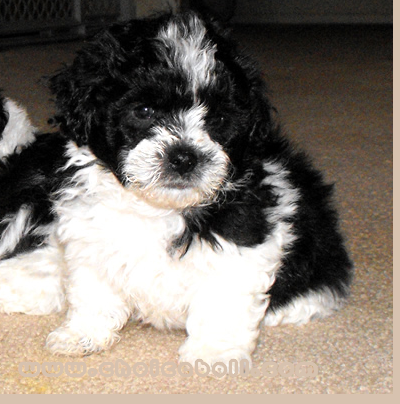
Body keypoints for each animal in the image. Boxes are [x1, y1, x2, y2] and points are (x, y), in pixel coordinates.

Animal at [0, 12, 354, 366]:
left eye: (219, 119)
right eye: (144, 111)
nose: (184, 157)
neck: (157, 208)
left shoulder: (241, 238)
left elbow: (224, 299)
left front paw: (214, 353)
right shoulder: (90, 237)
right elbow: (93, 291)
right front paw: (83, 335)